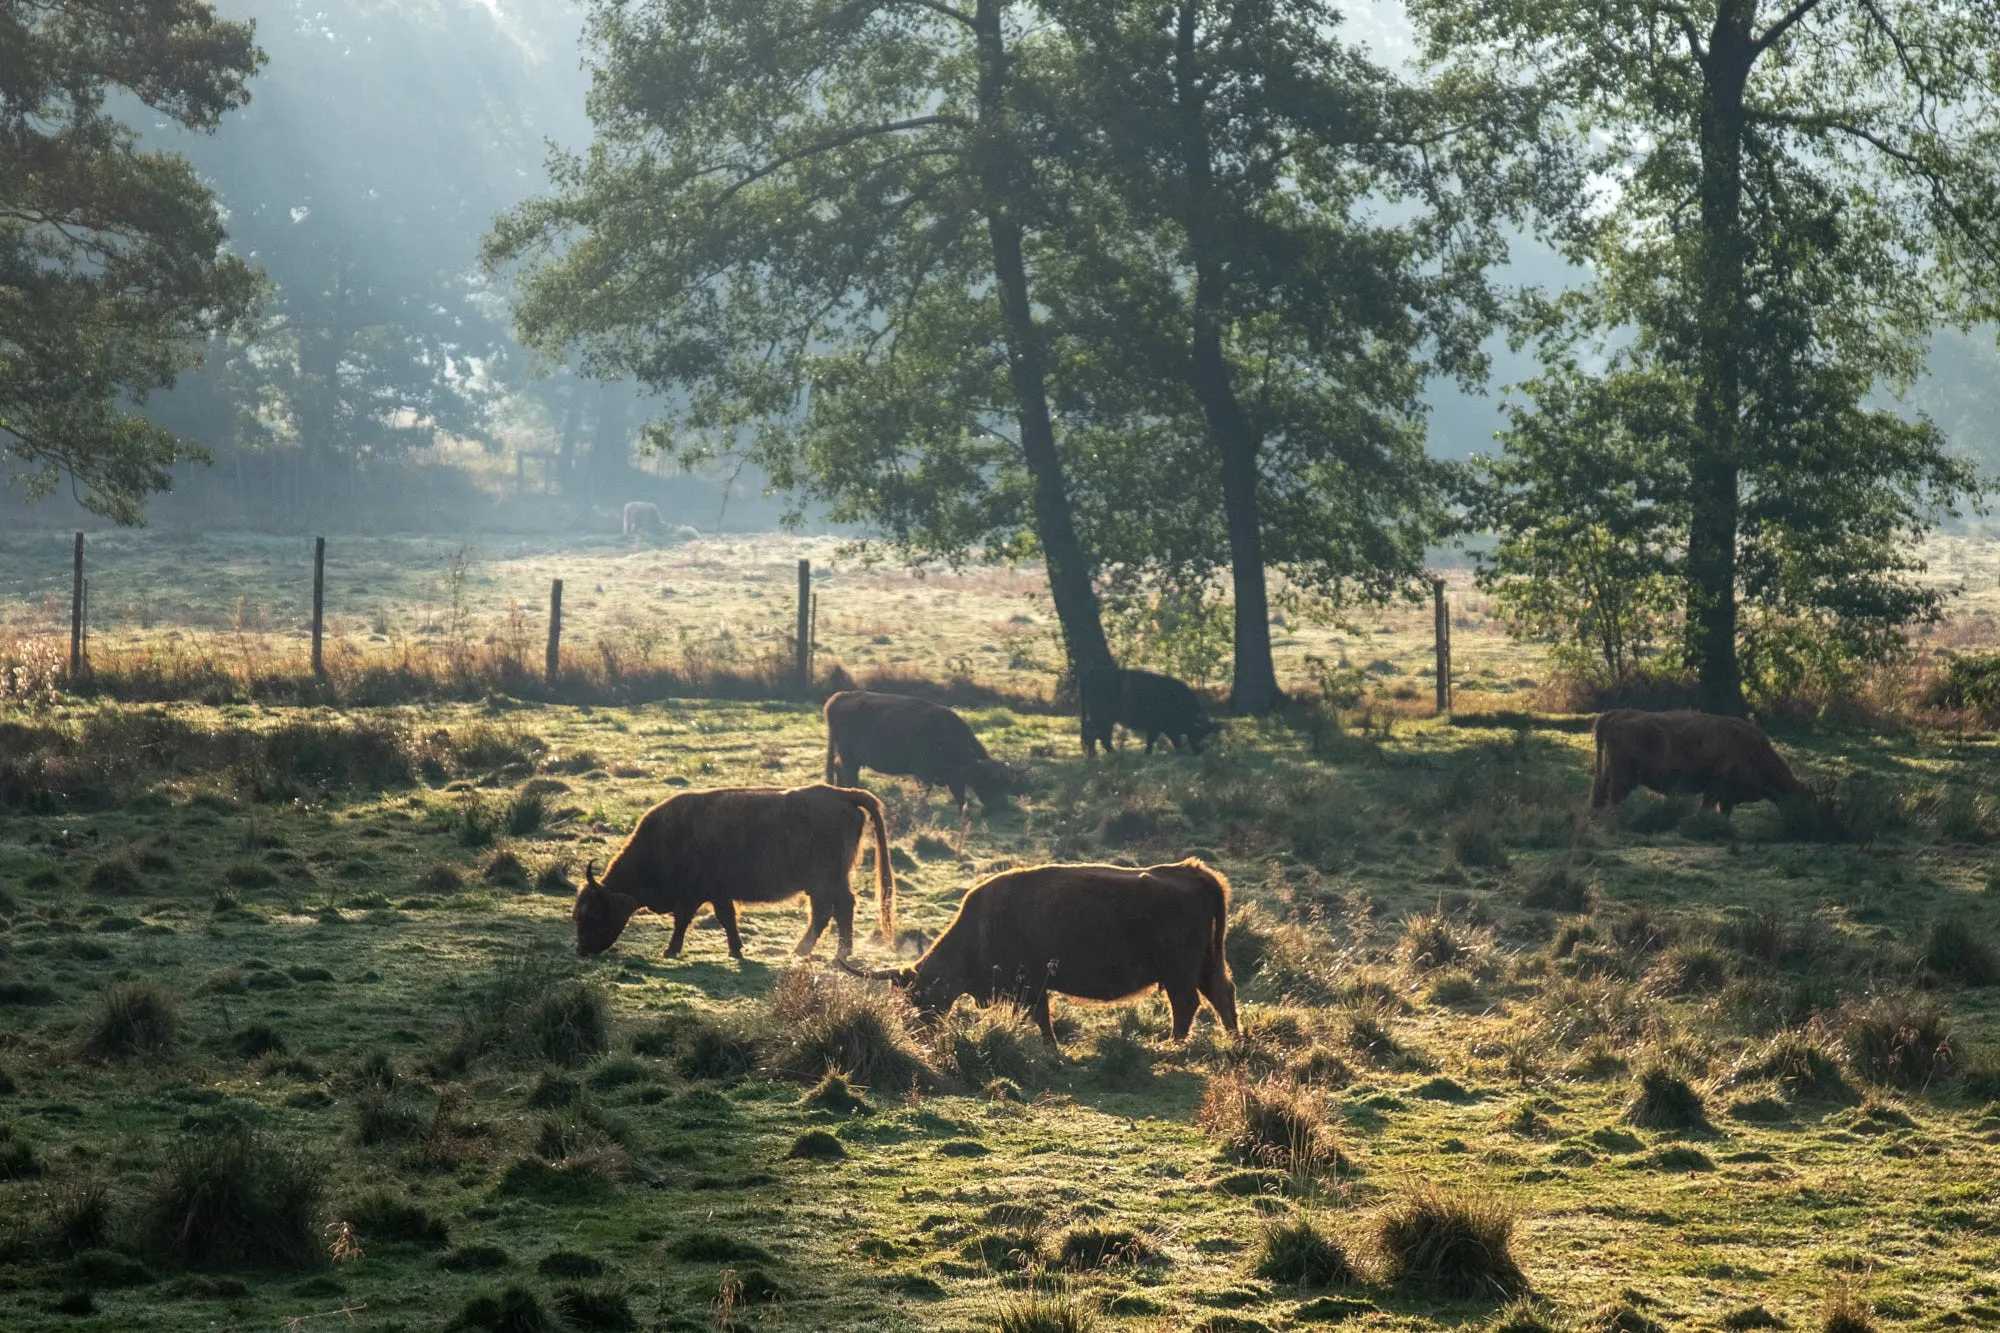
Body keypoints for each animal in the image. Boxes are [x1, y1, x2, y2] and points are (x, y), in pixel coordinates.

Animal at [573, 784, 893, 961]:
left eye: (593, 914)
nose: (582, 949)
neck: (664, 840)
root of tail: (843, 795)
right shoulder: (719, 894)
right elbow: (727, 919)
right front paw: (736, 949)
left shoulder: (692, 895)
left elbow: (683, 921)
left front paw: (670, 950)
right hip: (819, 884)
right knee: (826, 911)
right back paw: (806, 950)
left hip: (827, 880)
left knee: (841, 907)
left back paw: (838, 952)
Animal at [823, 690, 1011, 816]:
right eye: (991, 782)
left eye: (1005, 783)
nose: (1002, 805)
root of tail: (840, 697)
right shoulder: (925, 772)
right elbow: (926, 791)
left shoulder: (952, 776)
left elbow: (959, 795)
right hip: (849, 757)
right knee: (848, 773)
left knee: (839, 768)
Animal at [842, 858, 1239, 1048]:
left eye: (915, 995)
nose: (915, 1035)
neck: (980, 928)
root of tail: (1193, 871)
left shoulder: (1031, 984)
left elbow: (1040, 1017)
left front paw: (1050, 1048)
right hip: (1206, 963)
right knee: (1222, 994)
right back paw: (1232, 1040)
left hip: (1178, 970)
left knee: (1187, 1004)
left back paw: (1171, 1046)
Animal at [1079, 667, 1219, 756]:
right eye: (1198, 734)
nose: (1200, 751)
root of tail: (1088, 675)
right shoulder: (1161, 726)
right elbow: (1164, 740)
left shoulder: (1158, 727)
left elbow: (1153, 741)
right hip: (1100, 716)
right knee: (1094, 733)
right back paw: (1097, 754)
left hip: (1106, 718)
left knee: (1101, 734)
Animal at [1590, 709, 1805, 815]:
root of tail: (1618, 713)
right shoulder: (1716, 787)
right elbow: (1708, 807)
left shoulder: (1726, 795)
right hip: (1623, 778)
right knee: (1615, 797)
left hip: (1609, 773)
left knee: (1599, 793)